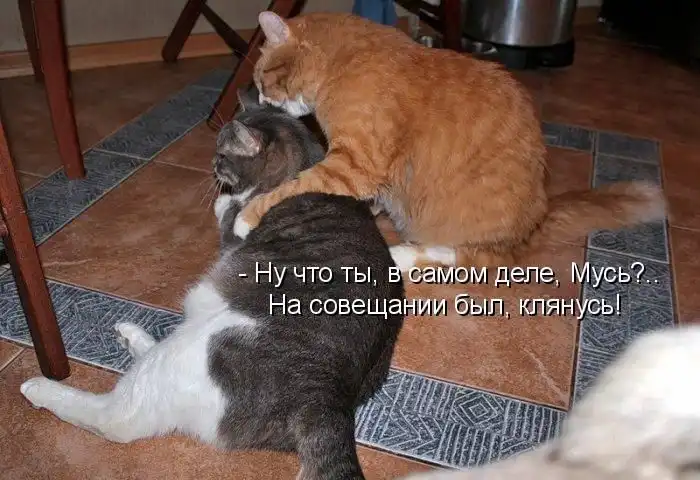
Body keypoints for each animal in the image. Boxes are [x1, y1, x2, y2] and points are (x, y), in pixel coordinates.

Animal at [19, 89, 405, 480]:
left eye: (222, 155)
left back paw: (38, 388)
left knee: (117, 419)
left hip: (199, 345)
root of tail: (328, 397)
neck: (306, 170)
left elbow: (228, 213)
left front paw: (225, 200)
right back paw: (132, 337)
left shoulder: (236, 234)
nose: (210, 164)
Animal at [228, 11, 665, 273]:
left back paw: (402, 253)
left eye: (263, 77)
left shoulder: (353, 164)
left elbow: (290, 187)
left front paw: (246, 217)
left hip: (472, 230)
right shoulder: (363, 174)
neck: (344, 61)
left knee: (471, 257)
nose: (261, 99)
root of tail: (538, 218)